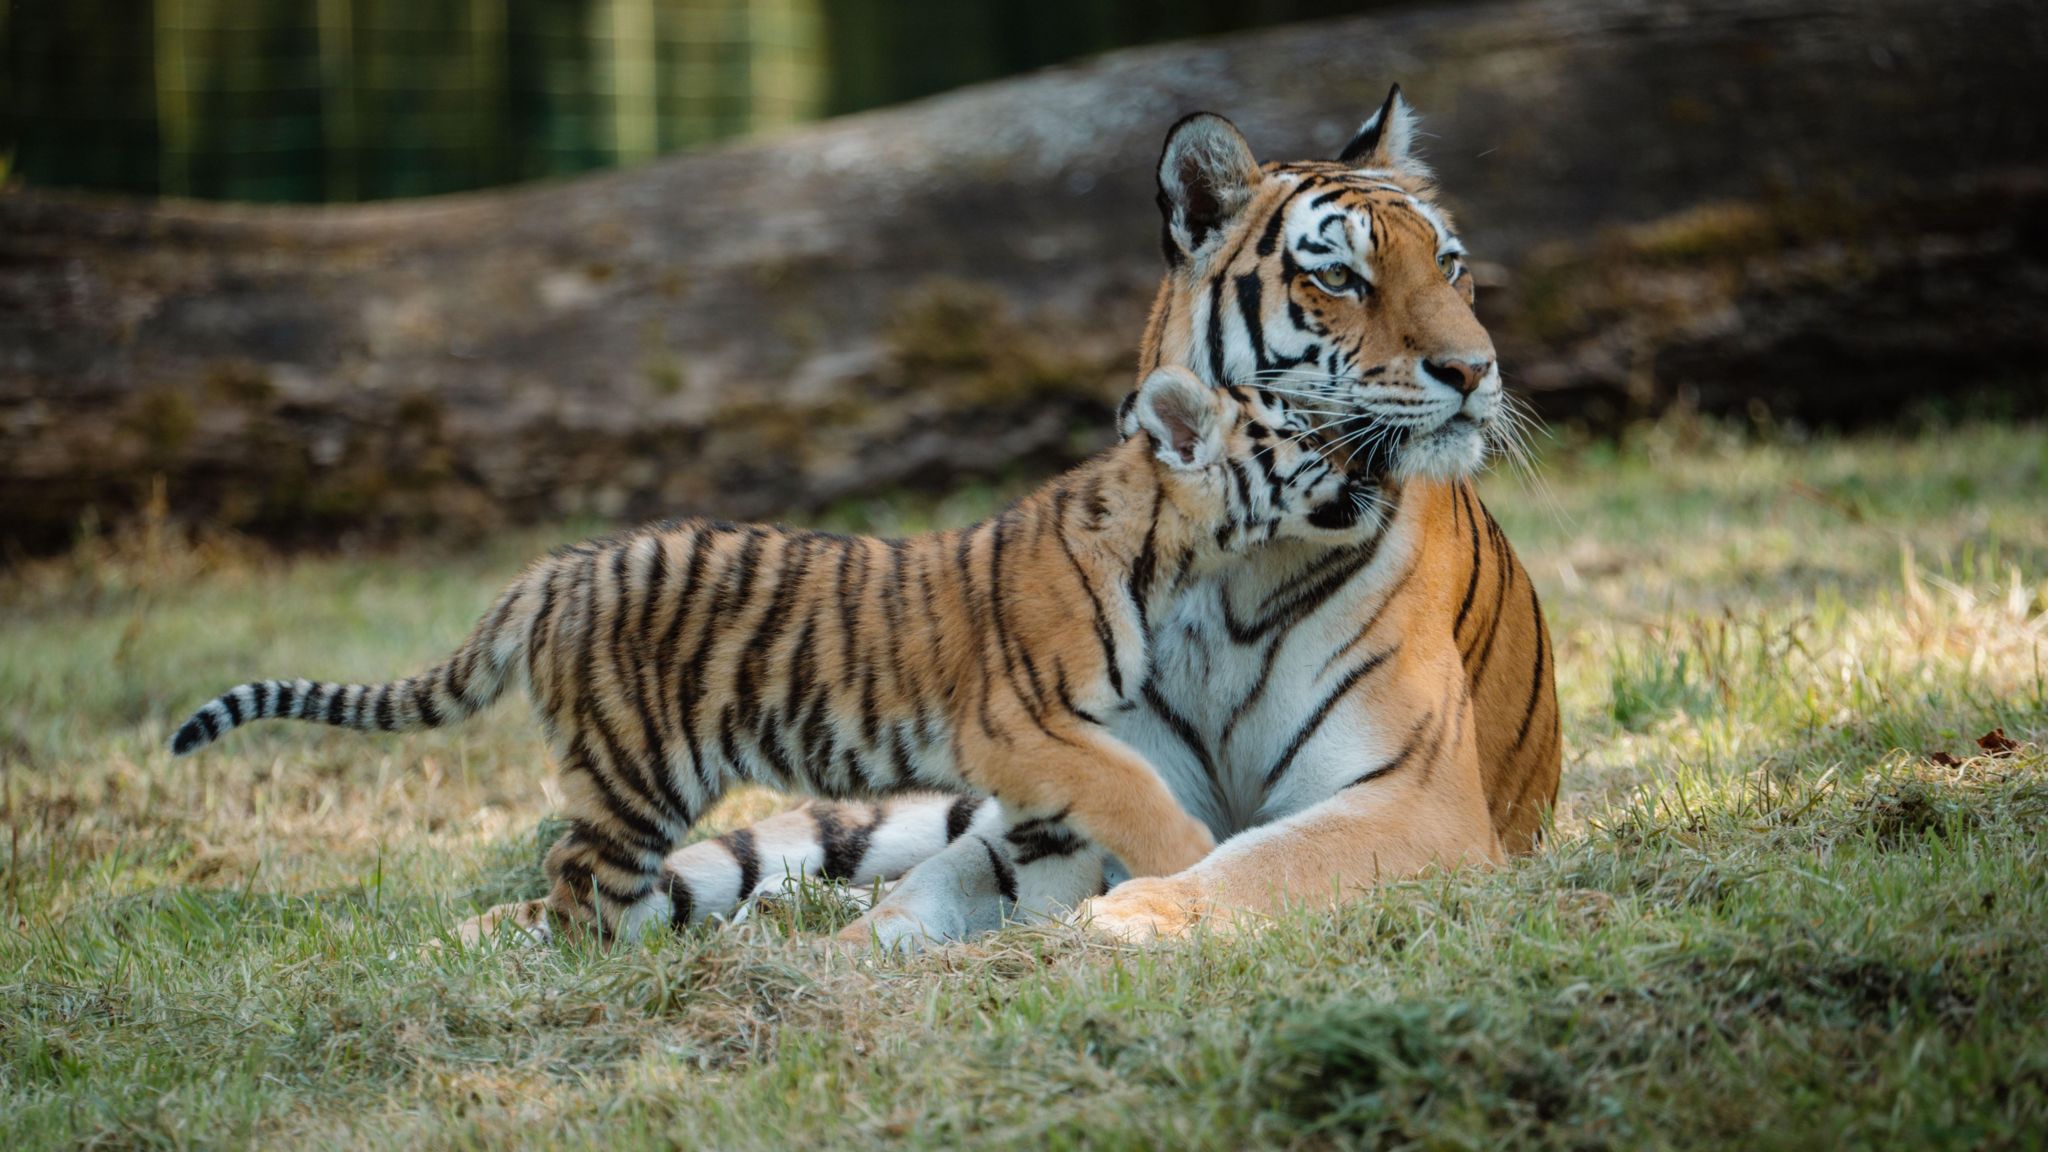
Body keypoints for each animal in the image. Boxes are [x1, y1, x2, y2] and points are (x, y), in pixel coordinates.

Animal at [524, 89, 1548, 947]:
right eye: (1340, 280)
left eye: (1451, 266)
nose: (1476, 370)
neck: (1231, 569)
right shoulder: (1059, 782)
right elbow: (931, 894)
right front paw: (844, 964)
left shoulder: (1417, 799)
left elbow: (1264, 861)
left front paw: (1135, 914)